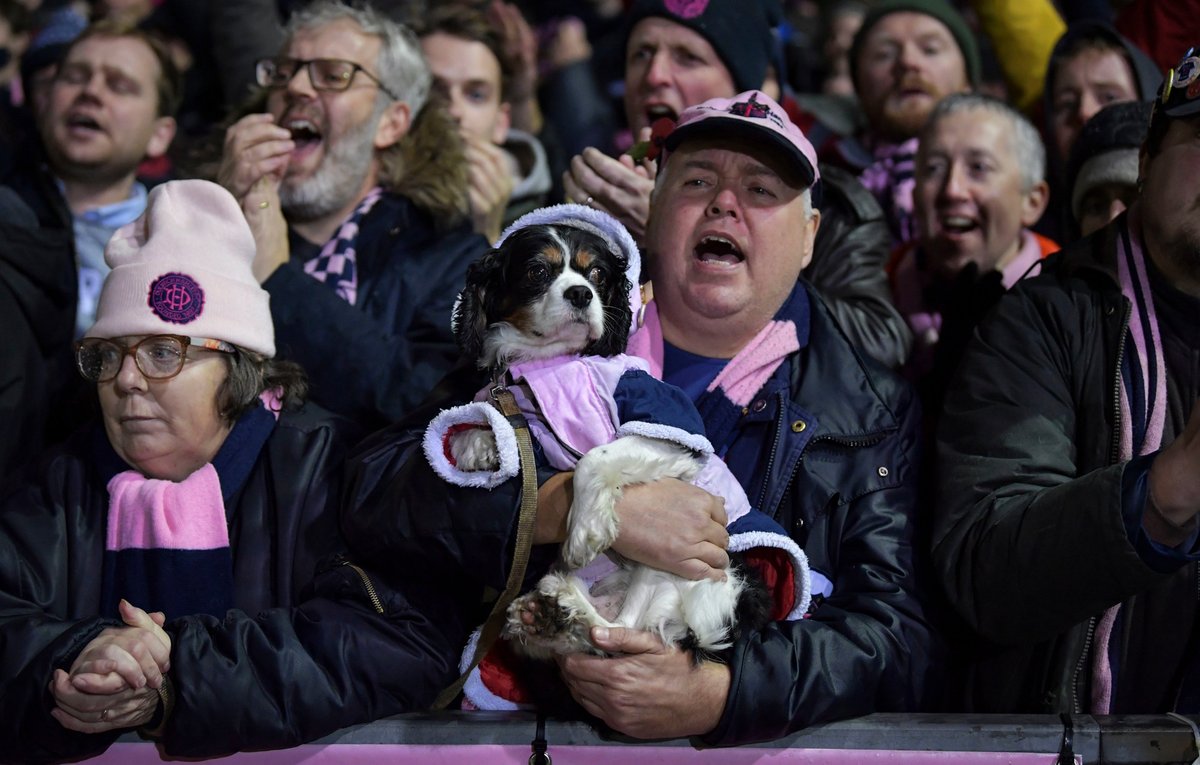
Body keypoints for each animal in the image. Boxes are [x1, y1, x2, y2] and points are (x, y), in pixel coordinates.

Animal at [429, 206, 787, 666]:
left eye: (597, 274)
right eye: (537, 271)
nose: (581, 294)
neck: (550, 364)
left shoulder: (668, 432)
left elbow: (595, 456)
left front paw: (585, 530)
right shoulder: (529, 423)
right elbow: (492, 426)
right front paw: (477, 444)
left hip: (683, 567)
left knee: (624, 630)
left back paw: (566, 609)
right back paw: (550, 616)